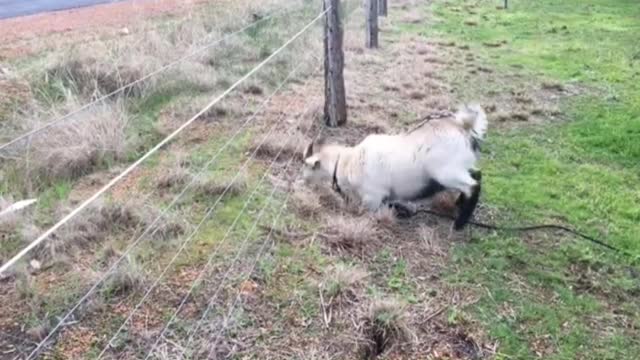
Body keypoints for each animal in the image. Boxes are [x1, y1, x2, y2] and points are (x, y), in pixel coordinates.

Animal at [302, 103, 488, 231]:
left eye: (307, 167)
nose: (302, 181)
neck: (347, 162)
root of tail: (462, 125)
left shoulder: (373, 197)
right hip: (460, 167)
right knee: (476, 174)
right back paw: (458, 204)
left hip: (446, 173)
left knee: (473, 186)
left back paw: (459, 223)